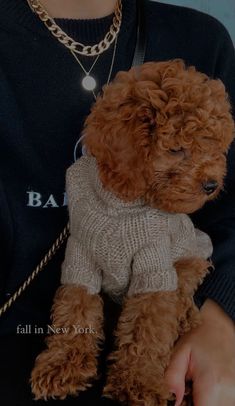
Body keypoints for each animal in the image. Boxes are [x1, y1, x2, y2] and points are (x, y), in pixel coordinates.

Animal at [31, 58, 235, 404]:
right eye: (176, 149)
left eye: (211, 144)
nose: (211, 184)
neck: (120, 205)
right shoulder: (81, 257)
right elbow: (75, 310)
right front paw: (63, 364)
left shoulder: (154, 266)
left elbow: (147, 326)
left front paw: (138, 383)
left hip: (190, 255)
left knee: (184, 288)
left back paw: (186, 316)